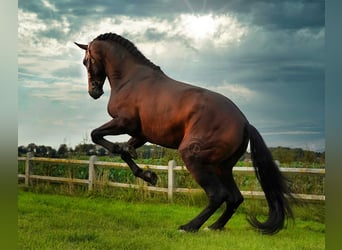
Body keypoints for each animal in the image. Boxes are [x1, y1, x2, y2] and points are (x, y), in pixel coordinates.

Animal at [75, 32, 294, 234]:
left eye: (86, 61)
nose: (94, 92)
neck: (130, 79)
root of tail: (245, 123)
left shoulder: (123, 123)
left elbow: (98, 136)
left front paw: (147, 173)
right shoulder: (141, 134)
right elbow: (125, 152)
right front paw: (149, 175)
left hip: (195, 158)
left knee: (218, 195)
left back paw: (190, 226)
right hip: (222, 167)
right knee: (234, 198)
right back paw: (214, 227)